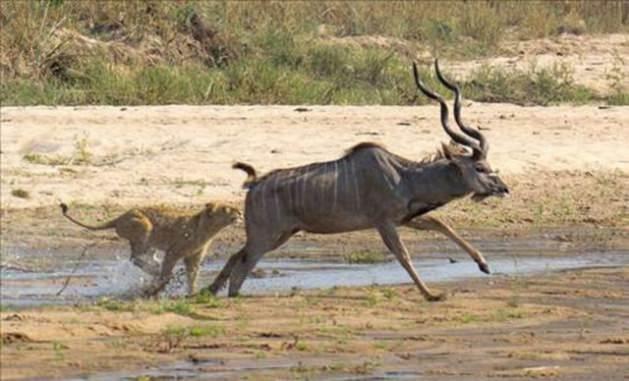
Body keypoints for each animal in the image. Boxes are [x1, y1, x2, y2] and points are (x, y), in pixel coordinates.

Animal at [209, 60, 508, 302]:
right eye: (480, 167)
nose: (504, 188)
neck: (405, 176)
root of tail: (254, 185)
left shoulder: (404, 218)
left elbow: (440, 223)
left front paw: (484, 264)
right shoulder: (384, 223)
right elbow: (404, 255)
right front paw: (431, 294)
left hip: (281, 234)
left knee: (237, 256)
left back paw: (208, 291)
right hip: (266, 236)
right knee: (242, 266)